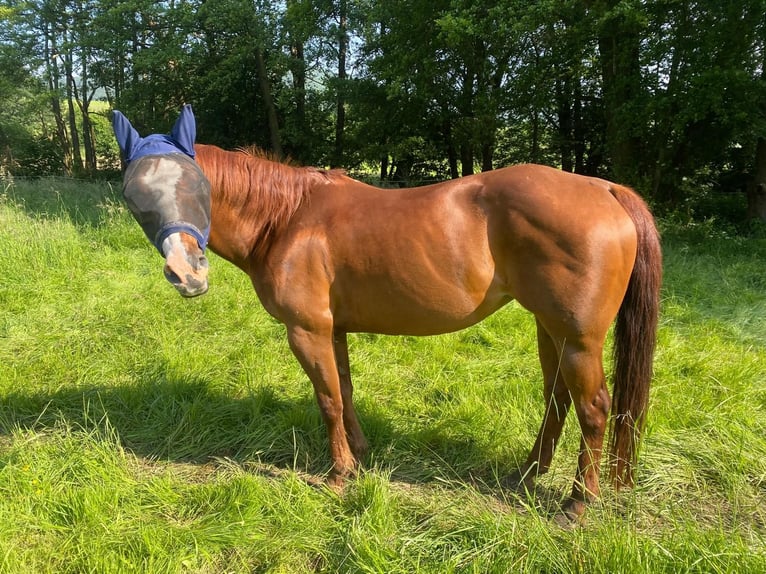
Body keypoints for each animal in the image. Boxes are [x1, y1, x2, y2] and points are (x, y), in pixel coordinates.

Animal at [117, 134, 662, 524]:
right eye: (134, 195)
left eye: (196, 186)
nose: (187, 273)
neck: (287, 219)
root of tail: (604, 189)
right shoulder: (332, 330)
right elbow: (345, 390)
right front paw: (358, 454)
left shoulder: (306, 331)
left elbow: (327, 400)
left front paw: (338, 476)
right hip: (549, 329)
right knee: (557, 399)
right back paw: (527, 474)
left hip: (578, 339)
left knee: (594, 409)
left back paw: (577, 504)